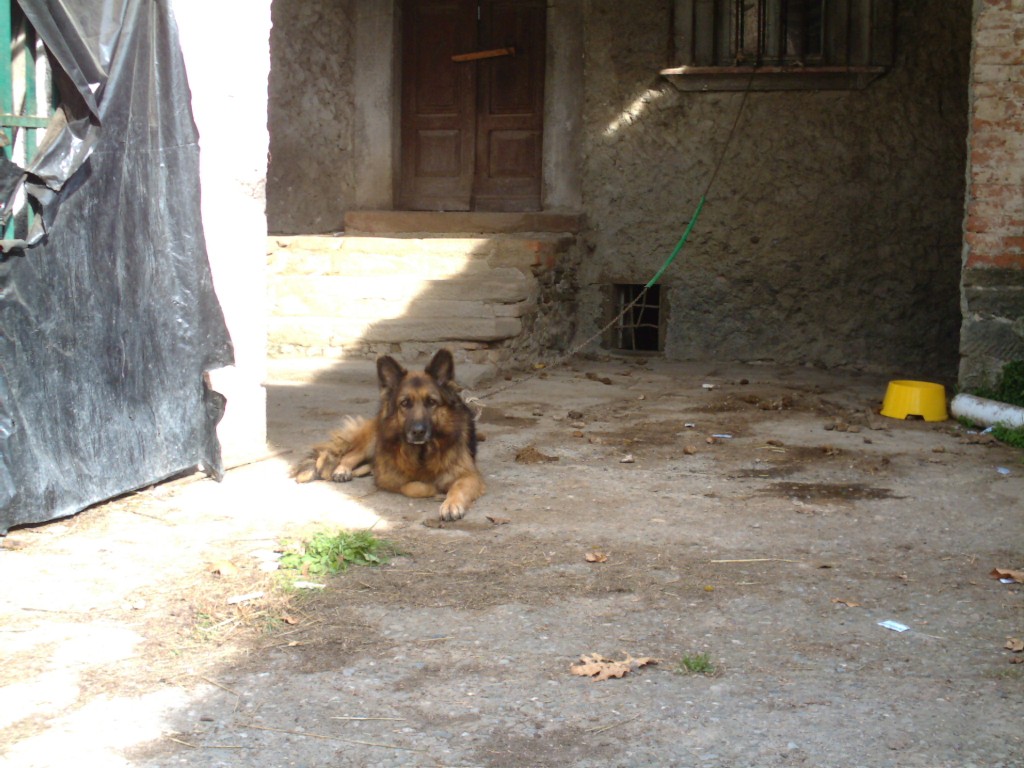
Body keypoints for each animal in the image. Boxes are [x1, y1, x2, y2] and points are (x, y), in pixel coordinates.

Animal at [292, 350, 483, 524]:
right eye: (405, 403)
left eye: (431, 402)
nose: (418, 431)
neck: (422, 452)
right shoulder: (389, 477)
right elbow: (413, 487)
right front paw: (433, 488)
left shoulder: (469, 475)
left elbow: (458, 488)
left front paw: (451, 504)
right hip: (373, 440)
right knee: (350, 455)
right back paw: (342, 470)